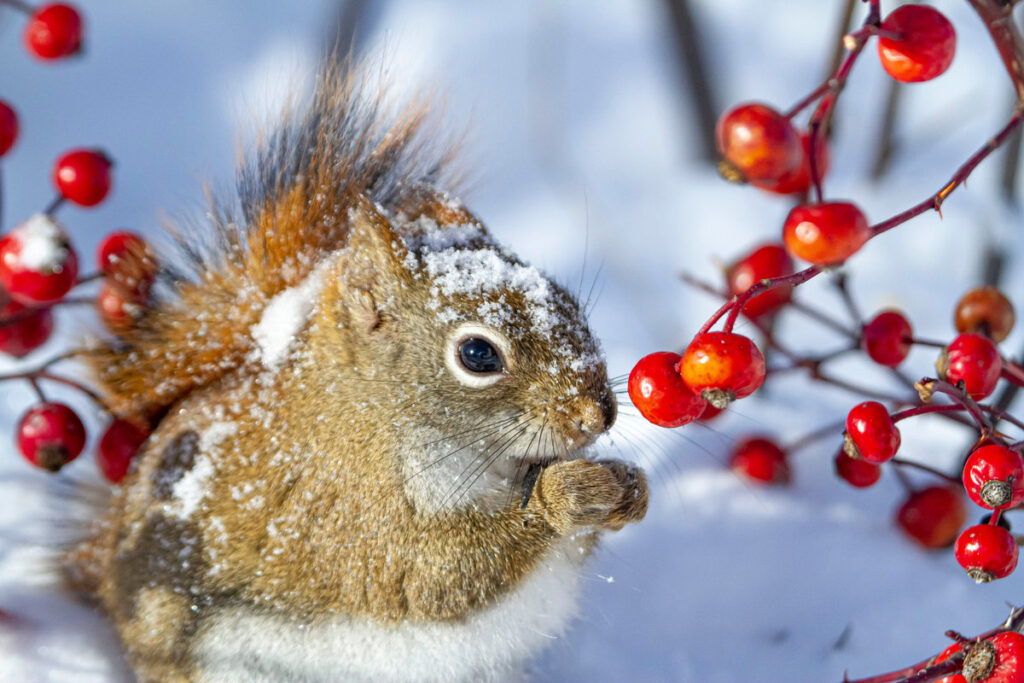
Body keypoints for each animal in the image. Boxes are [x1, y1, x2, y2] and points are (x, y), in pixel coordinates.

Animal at [61, 61, 649, 683]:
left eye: (567, 300)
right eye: (478, 355)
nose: (598, 415)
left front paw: (630, 488)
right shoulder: (347, 514)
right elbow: (440, 572)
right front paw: (567, 496)